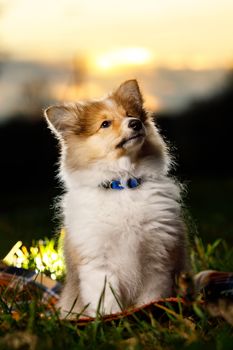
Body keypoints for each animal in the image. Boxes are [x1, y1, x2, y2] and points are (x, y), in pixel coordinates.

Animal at [44, 78, 188, 318]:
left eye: (131, 114)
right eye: (105, 124)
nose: (136, 123)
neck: (123, 186)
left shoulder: (157, 259)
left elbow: (151, 299)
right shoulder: (98, 264)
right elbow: (108, 304)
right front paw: (112, 320)